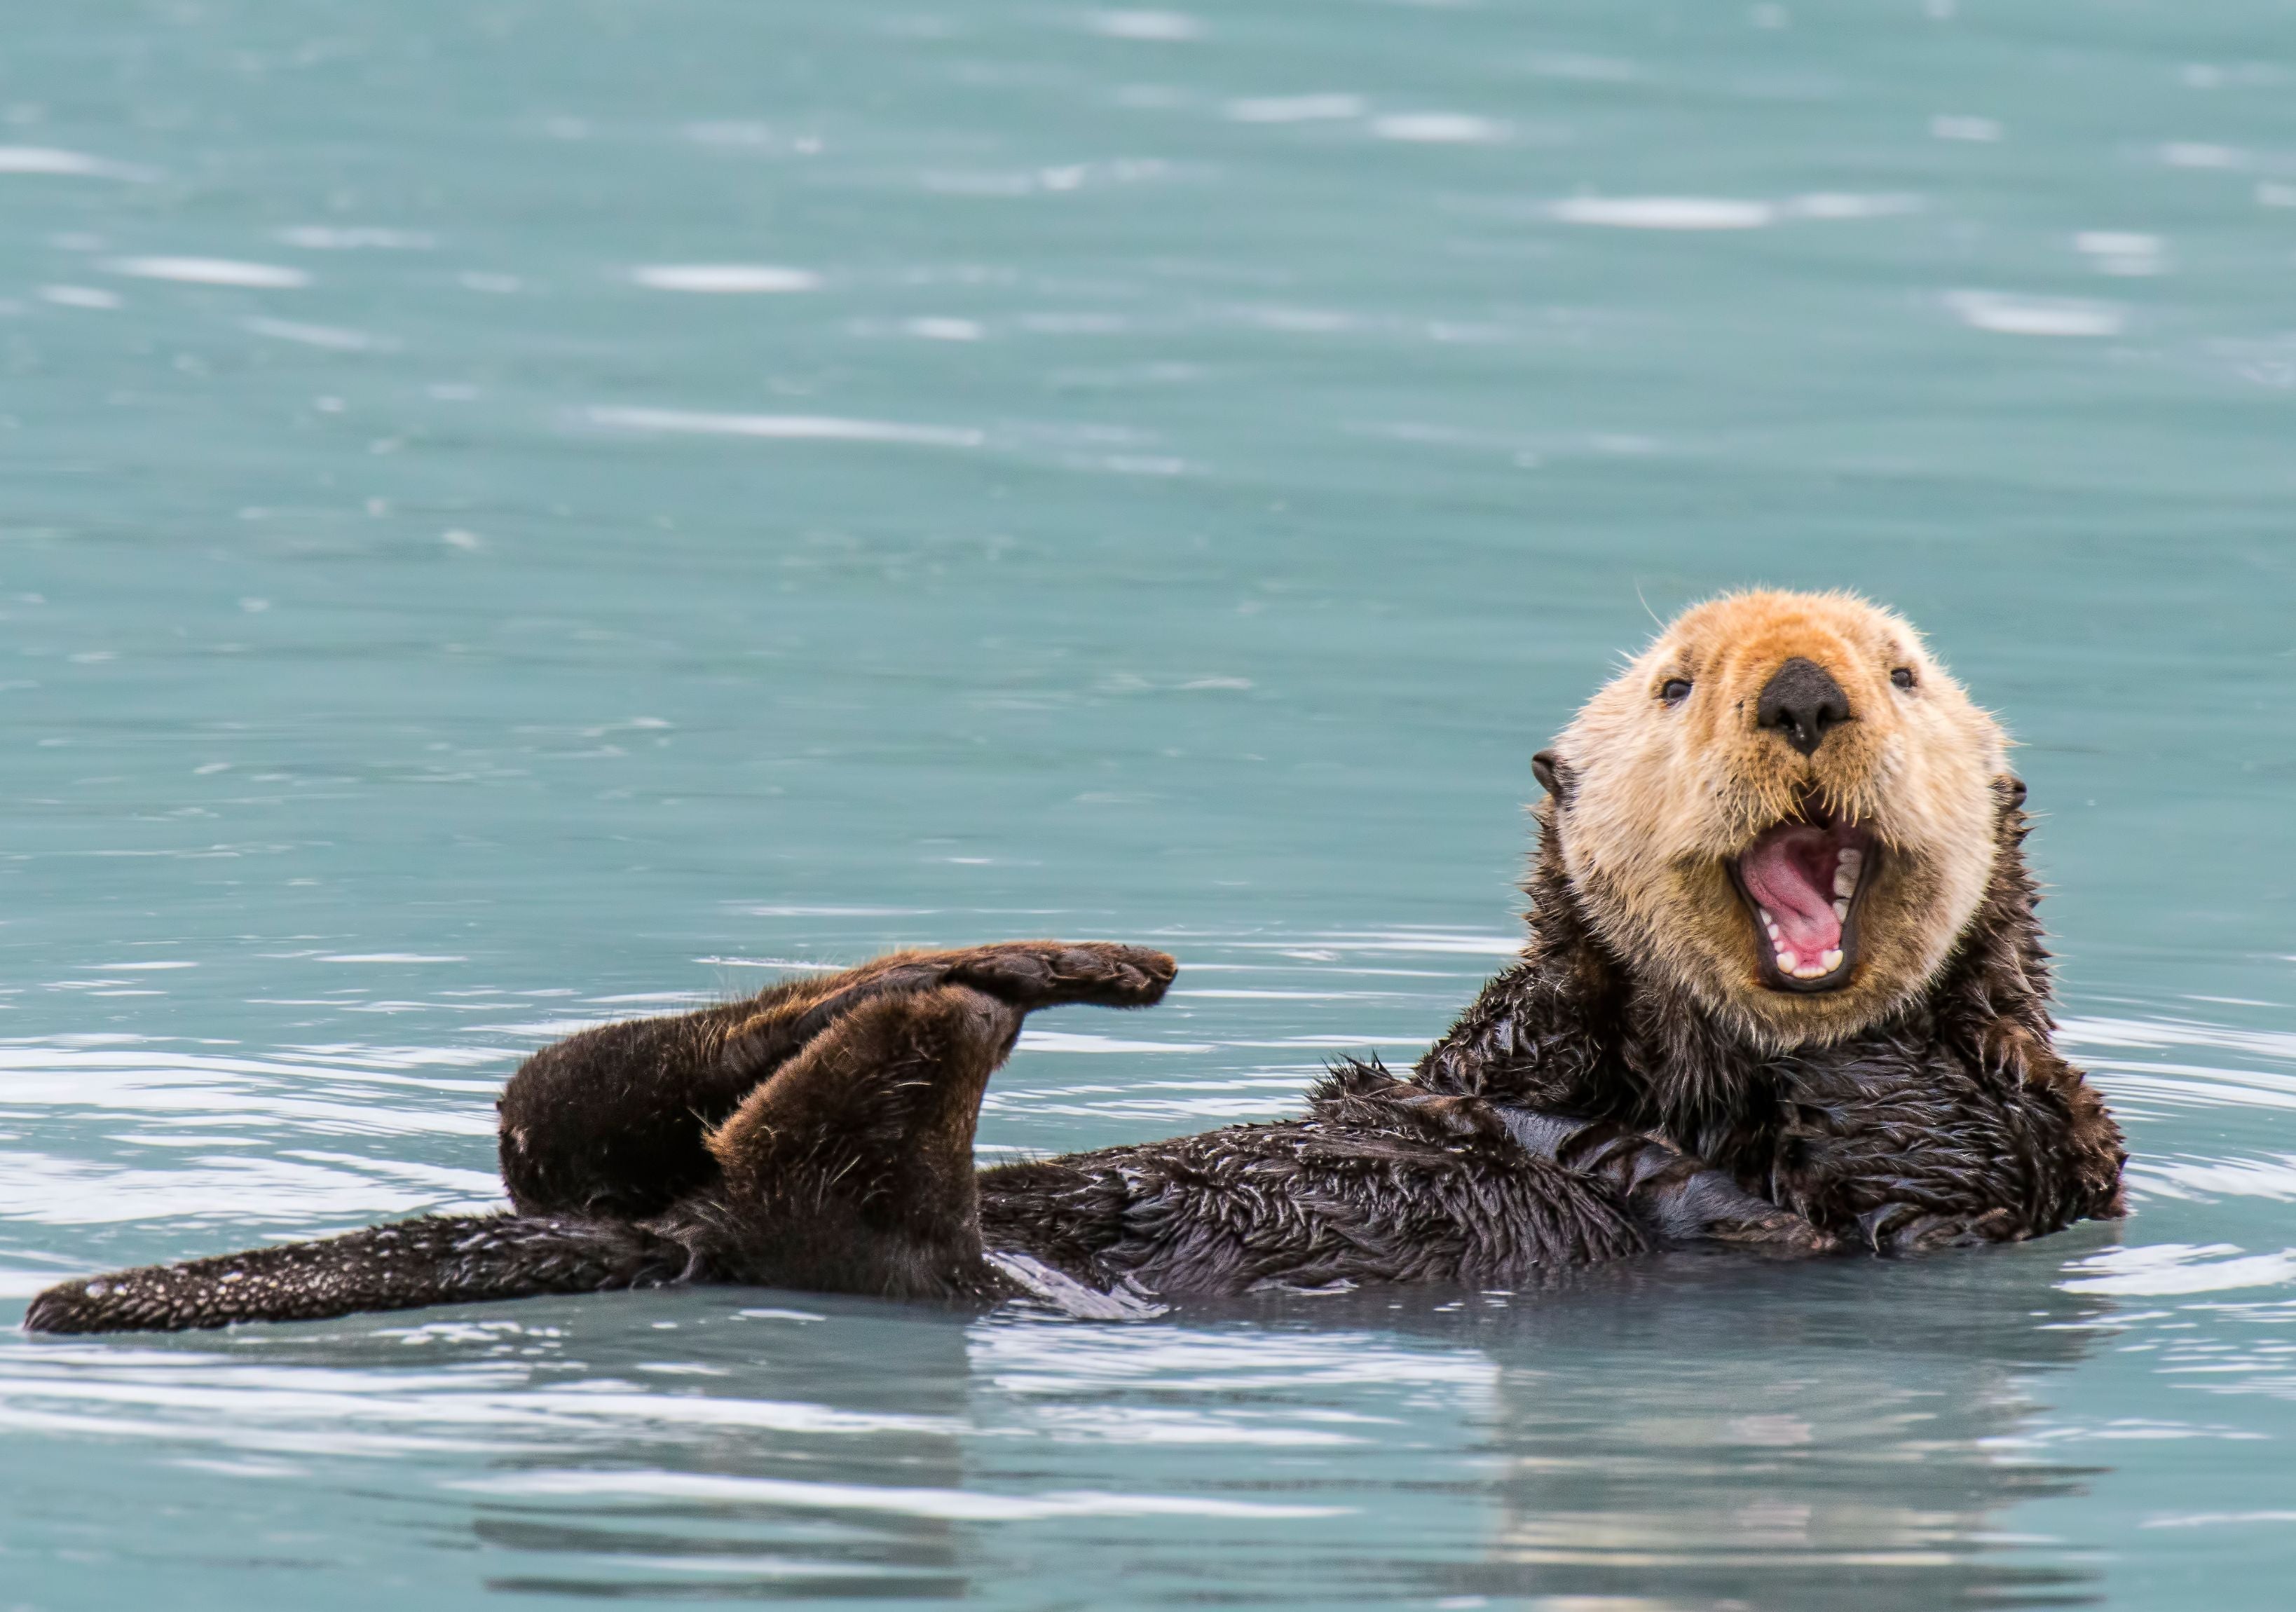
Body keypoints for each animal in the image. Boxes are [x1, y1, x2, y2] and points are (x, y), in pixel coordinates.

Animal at [24, 591, 2124, 1334]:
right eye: (1680, 682)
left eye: (1903, 673)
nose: (1800, 692)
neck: (1693, 1063)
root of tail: (667, 1237)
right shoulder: (1503, 1049)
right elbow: (1472, 1070)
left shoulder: (2009, 1156)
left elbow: (1902, 1144)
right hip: (646, 1167)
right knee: (567, 1105)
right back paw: (1020, 964)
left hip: (909, 1256)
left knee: (803, 1185)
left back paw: (967, 1005)